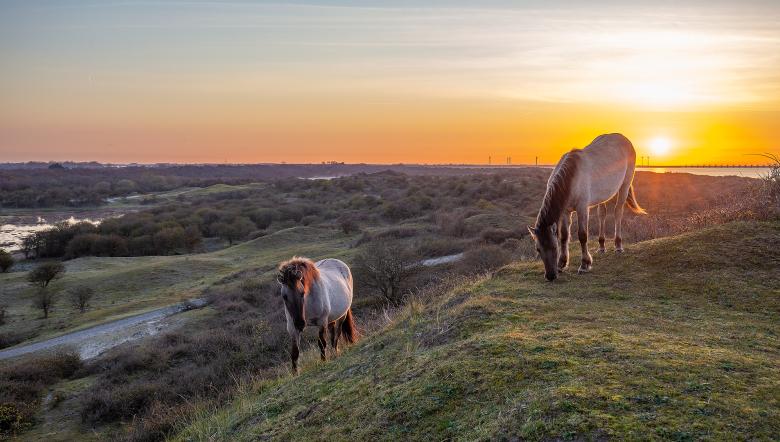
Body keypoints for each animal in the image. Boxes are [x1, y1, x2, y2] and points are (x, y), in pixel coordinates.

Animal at [532, 133, 644, 282]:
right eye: (538, 249)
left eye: (554, 247)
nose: (550, 276)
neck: (572, 177)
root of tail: (624, 139)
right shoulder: (566, 212)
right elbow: (564, 236)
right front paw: (562, 263)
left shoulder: (582, 208)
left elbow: (582, 235)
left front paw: (585, 264)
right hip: (603, 195)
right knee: (602, 214)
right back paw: (601, 246)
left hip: (624, 186)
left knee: (618, 212)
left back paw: (618, 245)